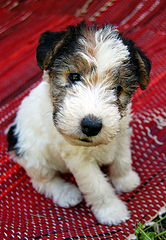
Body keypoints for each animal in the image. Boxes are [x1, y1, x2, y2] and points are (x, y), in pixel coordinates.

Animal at [7, 22, 150, 225]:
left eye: (117, 89)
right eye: (74, 76)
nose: (91, 125)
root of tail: (12, 132)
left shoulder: (121, 134)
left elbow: (122, 160)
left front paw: (125, 180)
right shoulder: (80, 160)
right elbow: (97, 186)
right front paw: (111, 211)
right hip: (34, 158)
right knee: (43, 181)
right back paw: (66, 193)